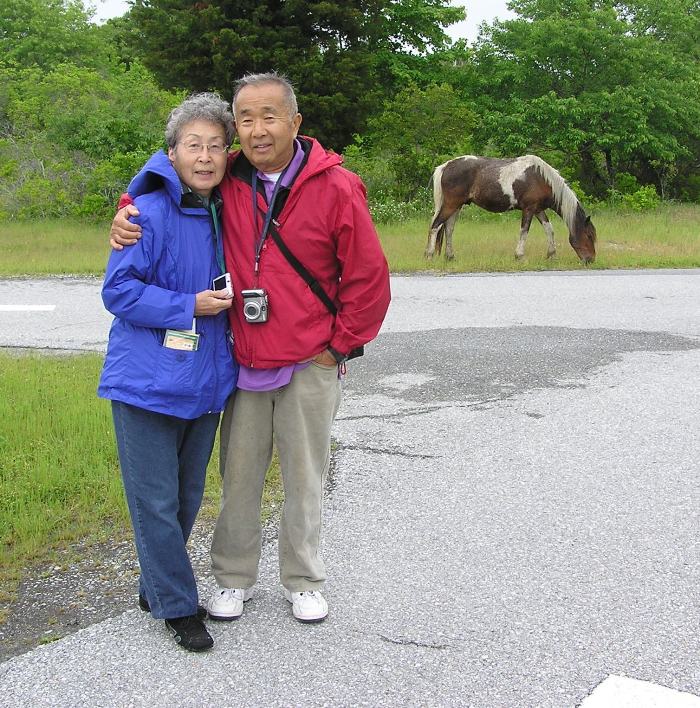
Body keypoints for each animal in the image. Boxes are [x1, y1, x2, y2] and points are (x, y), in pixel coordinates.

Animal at [426, 155, 596, 262]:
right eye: (589, 236)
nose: (591, 260)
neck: (542, 179)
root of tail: (446, 166)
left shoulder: (538, 209)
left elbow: (549, 230)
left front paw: (552, 255)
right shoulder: (528, 209)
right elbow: (524, 231)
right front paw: (519, 256)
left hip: (456, 206)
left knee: (449, 229)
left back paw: (450, 256)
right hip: (451, 205)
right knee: (436, 226)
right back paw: (429, 254)